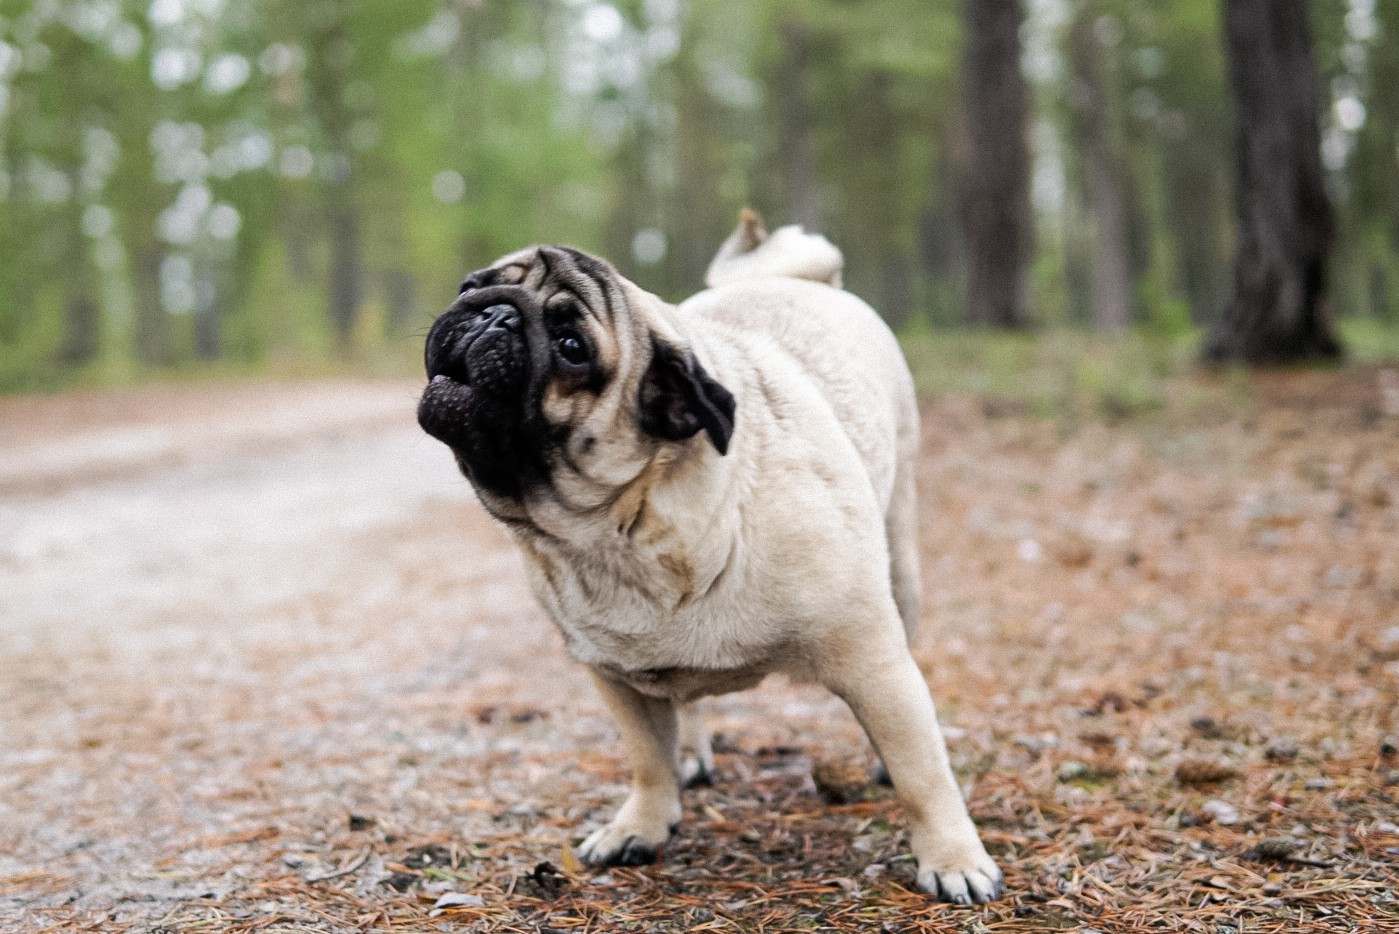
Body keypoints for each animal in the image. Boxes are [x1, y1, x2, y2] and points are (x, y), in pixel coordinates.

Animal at [416, 208, 1007, 900]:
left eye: (572, 348)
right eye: (470, 286)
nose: (493, 314)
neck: (622, 531)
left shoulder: (873, 663)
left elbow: (924, 775)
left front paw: (953, 860)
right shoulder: (614, 673)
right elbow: (648, 758)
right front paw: (642, 824)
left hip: (901, 563)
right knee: (681, 708)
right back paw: (691, 755)